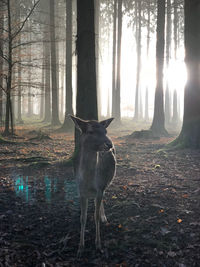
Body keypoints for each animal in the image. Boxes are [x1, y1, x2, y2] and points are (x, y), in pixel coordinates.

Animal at [70, 115, 115, 258]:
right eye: (90, 131)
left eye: (105, 131)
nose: (109, 144)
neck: (89, 181)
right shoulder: (81, 192)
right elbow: (83, 218)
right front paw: (80, 248)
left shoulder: (100, 188)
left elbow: (95, 217)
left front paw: (98, 245)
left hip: (106, 184)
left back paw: (104, 217)